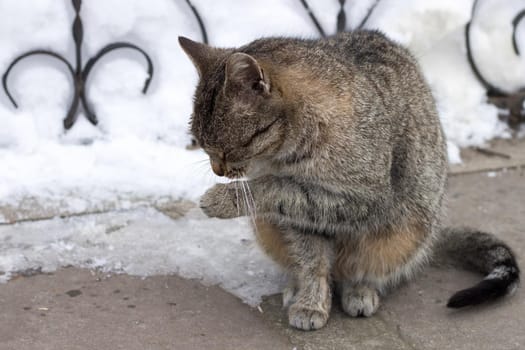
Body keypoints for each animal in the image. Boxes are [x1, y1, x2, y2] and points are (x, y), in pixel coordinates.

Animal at [178, 30, 516, 330]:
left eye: (227, 149)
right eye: (201, 144)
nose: (218, 170)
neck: (288, 154)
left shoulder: (369, 199)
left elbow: (276, 188)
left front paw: (223, 198)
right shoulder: (300, 221)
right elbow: (311, 260)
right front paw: (310, 300)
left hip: (406, 230)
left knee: (365, 266)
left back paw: (360, 289)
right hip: (268, 228)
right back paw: (297, 287)